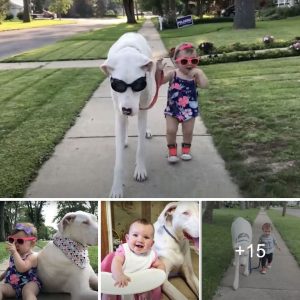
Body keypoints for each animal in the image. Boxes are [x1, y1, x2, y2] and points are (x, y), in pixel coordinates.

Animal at [101, 32, 156, 198]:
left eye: (138, 84)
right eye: (117, 85)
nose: (127, 109)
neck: (128, 53)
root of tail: (131, 33)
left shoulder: (142, 108)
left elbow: (141, 147)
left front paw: (140, 169)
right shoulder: (118, 112)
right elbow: (118, 161)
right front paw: (117, 187)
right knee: (125, 123)